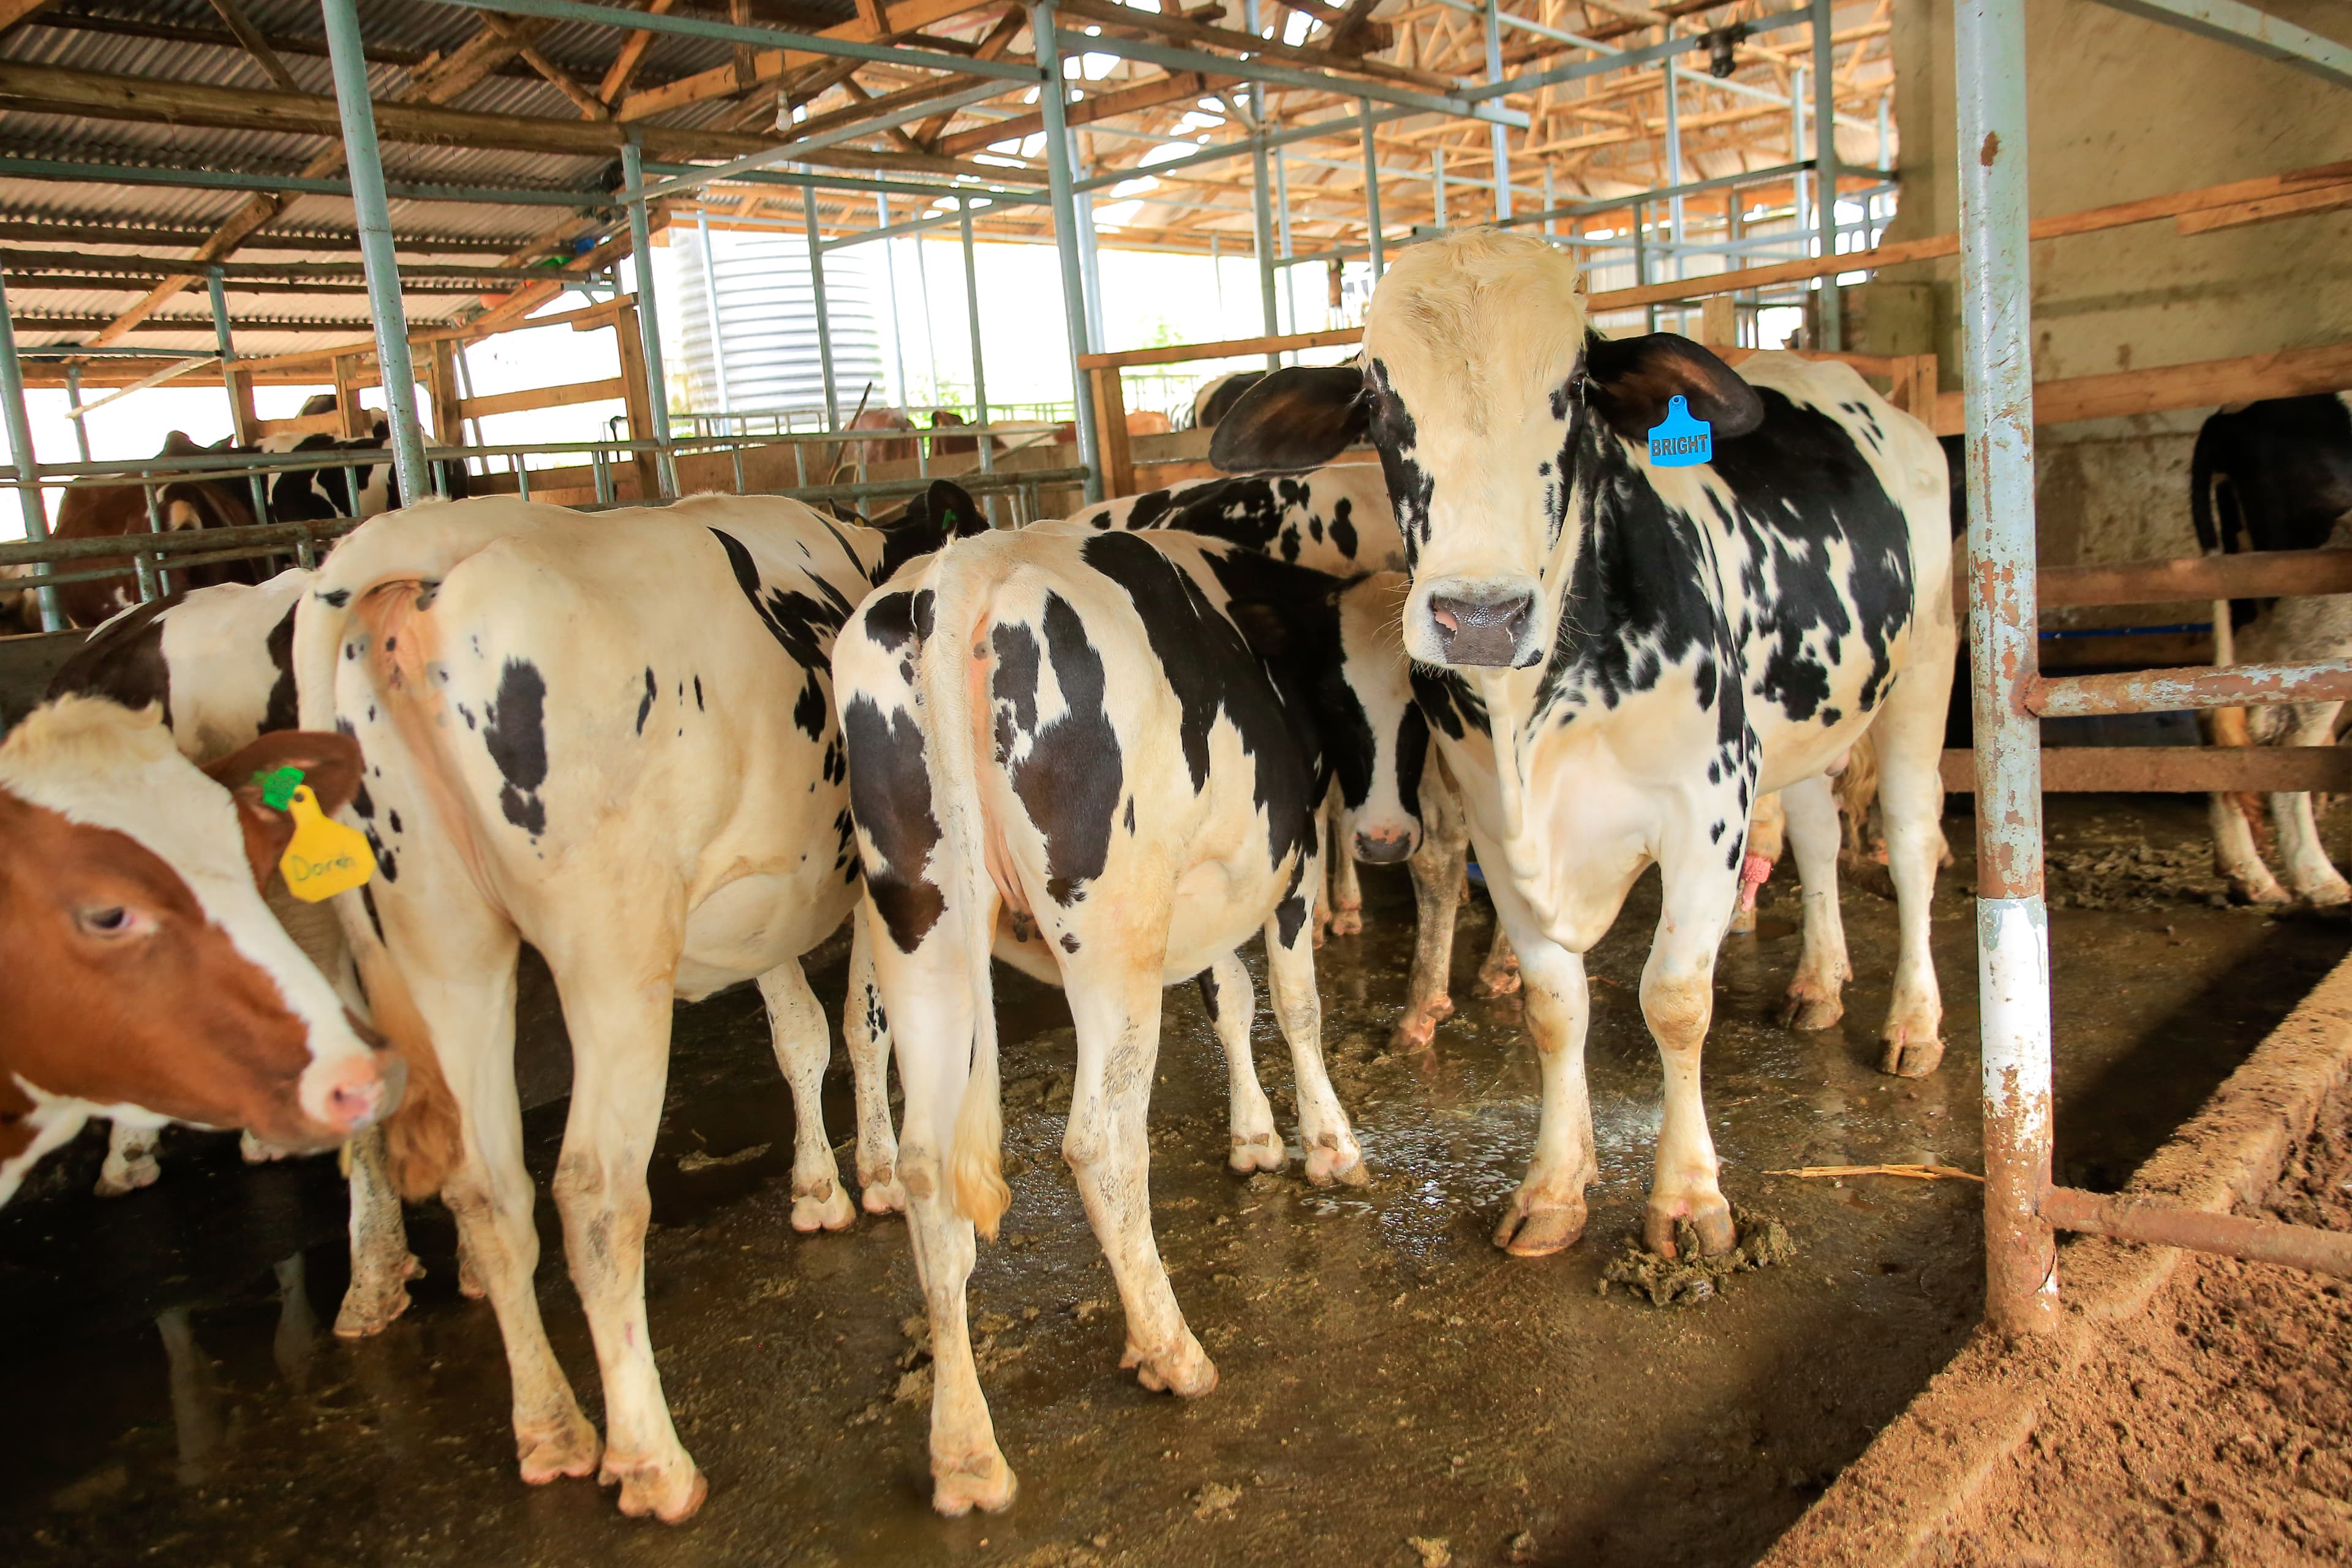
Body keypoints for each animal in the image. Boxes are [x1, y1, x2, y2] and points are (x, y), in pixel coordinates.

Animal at [288, 485, 985, 1521]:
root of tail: (432, 540)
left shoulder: (766, 898)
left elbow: (800, 1037)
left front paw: (818, 1187)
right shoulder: (871, 880)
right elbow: (862, 1029)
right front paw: (878, 1171)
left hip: (443, 943)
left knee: (486, 1186)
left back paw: (552, 1430)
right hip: (612, 950)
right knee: (594, 1192)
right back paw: (653, 1461)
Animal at [836, 523, 1407, 1514]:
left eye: (1414, 700)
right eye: (1345, 692)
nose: (1385, 839)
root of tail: (966, 568)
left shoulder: (1208, 886)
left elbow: (1229, 999)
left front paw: (1253, 1136)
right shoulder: (1286, 861)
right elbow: (1294, 1003)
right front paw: (1328, 1146)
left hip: (920, 924)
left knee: (927, 1170)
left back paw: (967, 1452)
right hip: (1112, 929)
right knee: (1101, 1143)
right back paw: (1170, 1350)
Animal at [1209, 228, 1956, 1261]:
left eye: (1573, 389)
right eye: (1378, 399)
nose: (1481, 616)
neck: (1536, 719)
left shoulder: (1708, 810)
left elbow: (1675, 1001)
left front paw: (1687, 1200)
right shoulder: (1495, 828)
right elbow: (1555, 1009)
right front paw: (1556, 1185)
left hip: (1926, 665)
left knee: (1915, 842)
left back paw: (1912, 1022)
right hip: (1805, 714)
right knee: (1815, 834)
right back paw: (1818, 982)